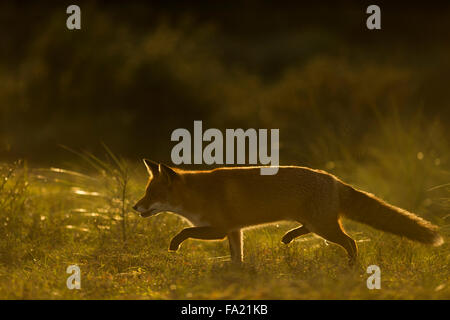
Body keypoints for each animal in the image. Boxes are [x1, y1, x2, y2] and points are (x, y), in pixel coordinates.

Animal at [133, 159, 442, 264]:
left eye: (153, 195)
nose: (135, 207)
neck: (197, 194)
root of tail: (333, 179)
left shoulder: (219, 229)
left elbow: (184, 229)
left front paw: (173, 245)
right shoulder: (234, 231)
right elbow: (237, 258)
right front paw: (238, 274)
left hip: (324, 227)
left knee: (351, 241)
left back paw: (351, 266)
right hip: (317, 223)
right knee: (312, 229)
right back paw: (289, 236)